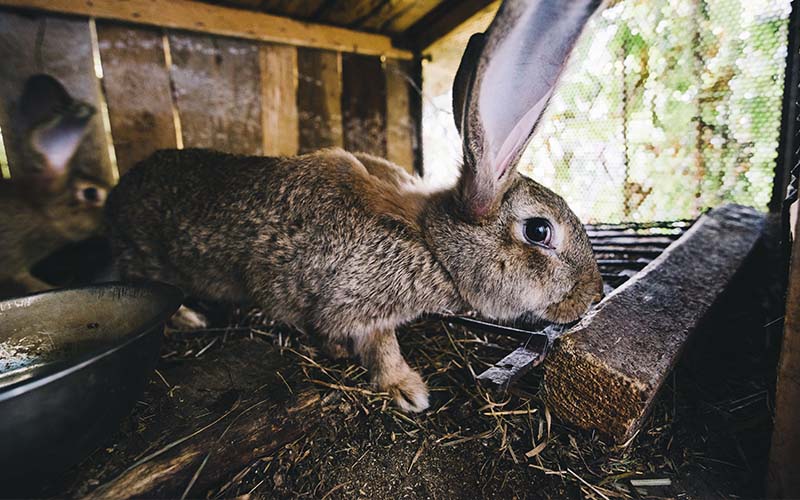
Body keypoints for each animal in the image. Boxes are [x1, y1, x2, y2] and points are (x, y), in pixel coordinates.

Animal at [108, 0, 608, 412]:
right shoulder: (355, 303)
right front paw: (407, 390)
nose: (592, 295)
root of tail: (119, 192)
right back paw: (187, 317)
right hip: (146, 255)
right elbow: (379, 346)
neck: (430, 242)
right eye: (539, 231)